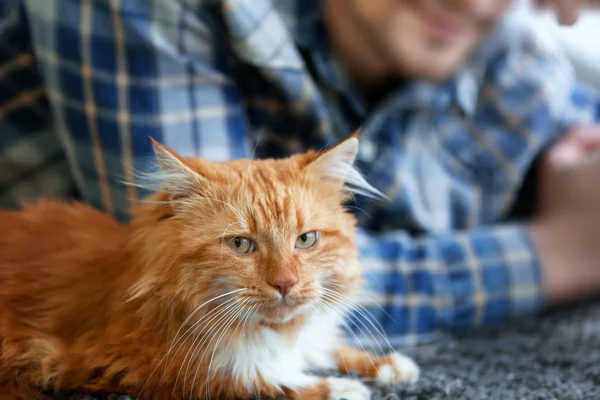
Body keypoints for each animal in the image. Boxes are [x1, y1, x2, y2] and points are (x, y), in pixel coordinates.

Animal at [0, 135, 420, 400]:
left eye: (306, 240)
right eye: (241, 244)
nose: (285, 283)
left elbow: (328, 348)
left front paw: (389, 365)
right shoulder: (133, 366)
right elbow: (262, 380)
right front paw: (342, 388)